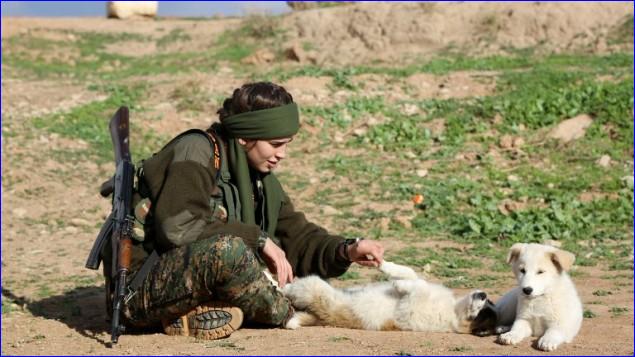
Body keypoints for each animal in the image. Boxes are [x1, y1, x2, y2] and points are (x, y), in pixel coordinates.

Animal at [280, 260, 494, 332]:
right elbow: (412, 274)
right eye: (488, 302)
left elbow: (420, 286)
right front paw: (384, 265)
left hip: (314, 288)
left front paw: (398, 285)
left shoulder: (411, 310)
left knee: (292, 289)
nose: (483, 294)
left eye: (481, 315)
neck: (454, 309)